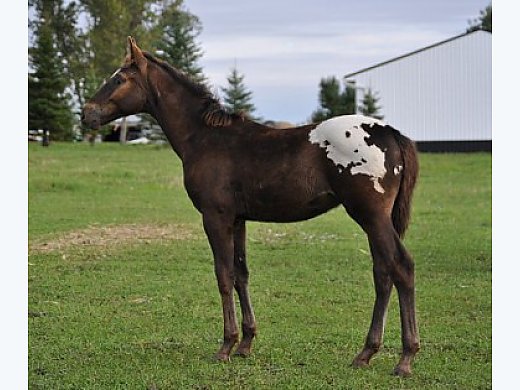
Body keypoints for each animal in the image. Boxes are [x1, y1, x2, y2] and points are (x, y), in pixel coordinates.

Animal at [82, 38, 422, 376]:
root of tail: (392, 133)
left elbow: (223, 275)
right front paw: (245, 343)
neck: (205, 138)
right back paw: (366, 353)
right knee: (383, 273)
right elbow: (241, 273)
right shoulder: (238, 220)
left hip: (371, 216)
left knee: (401, 267)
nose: (86, 114)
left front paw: (226, 346)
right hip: (374, 220)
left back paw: (405, 358)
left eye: (119, 79)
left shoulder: (215, 217)